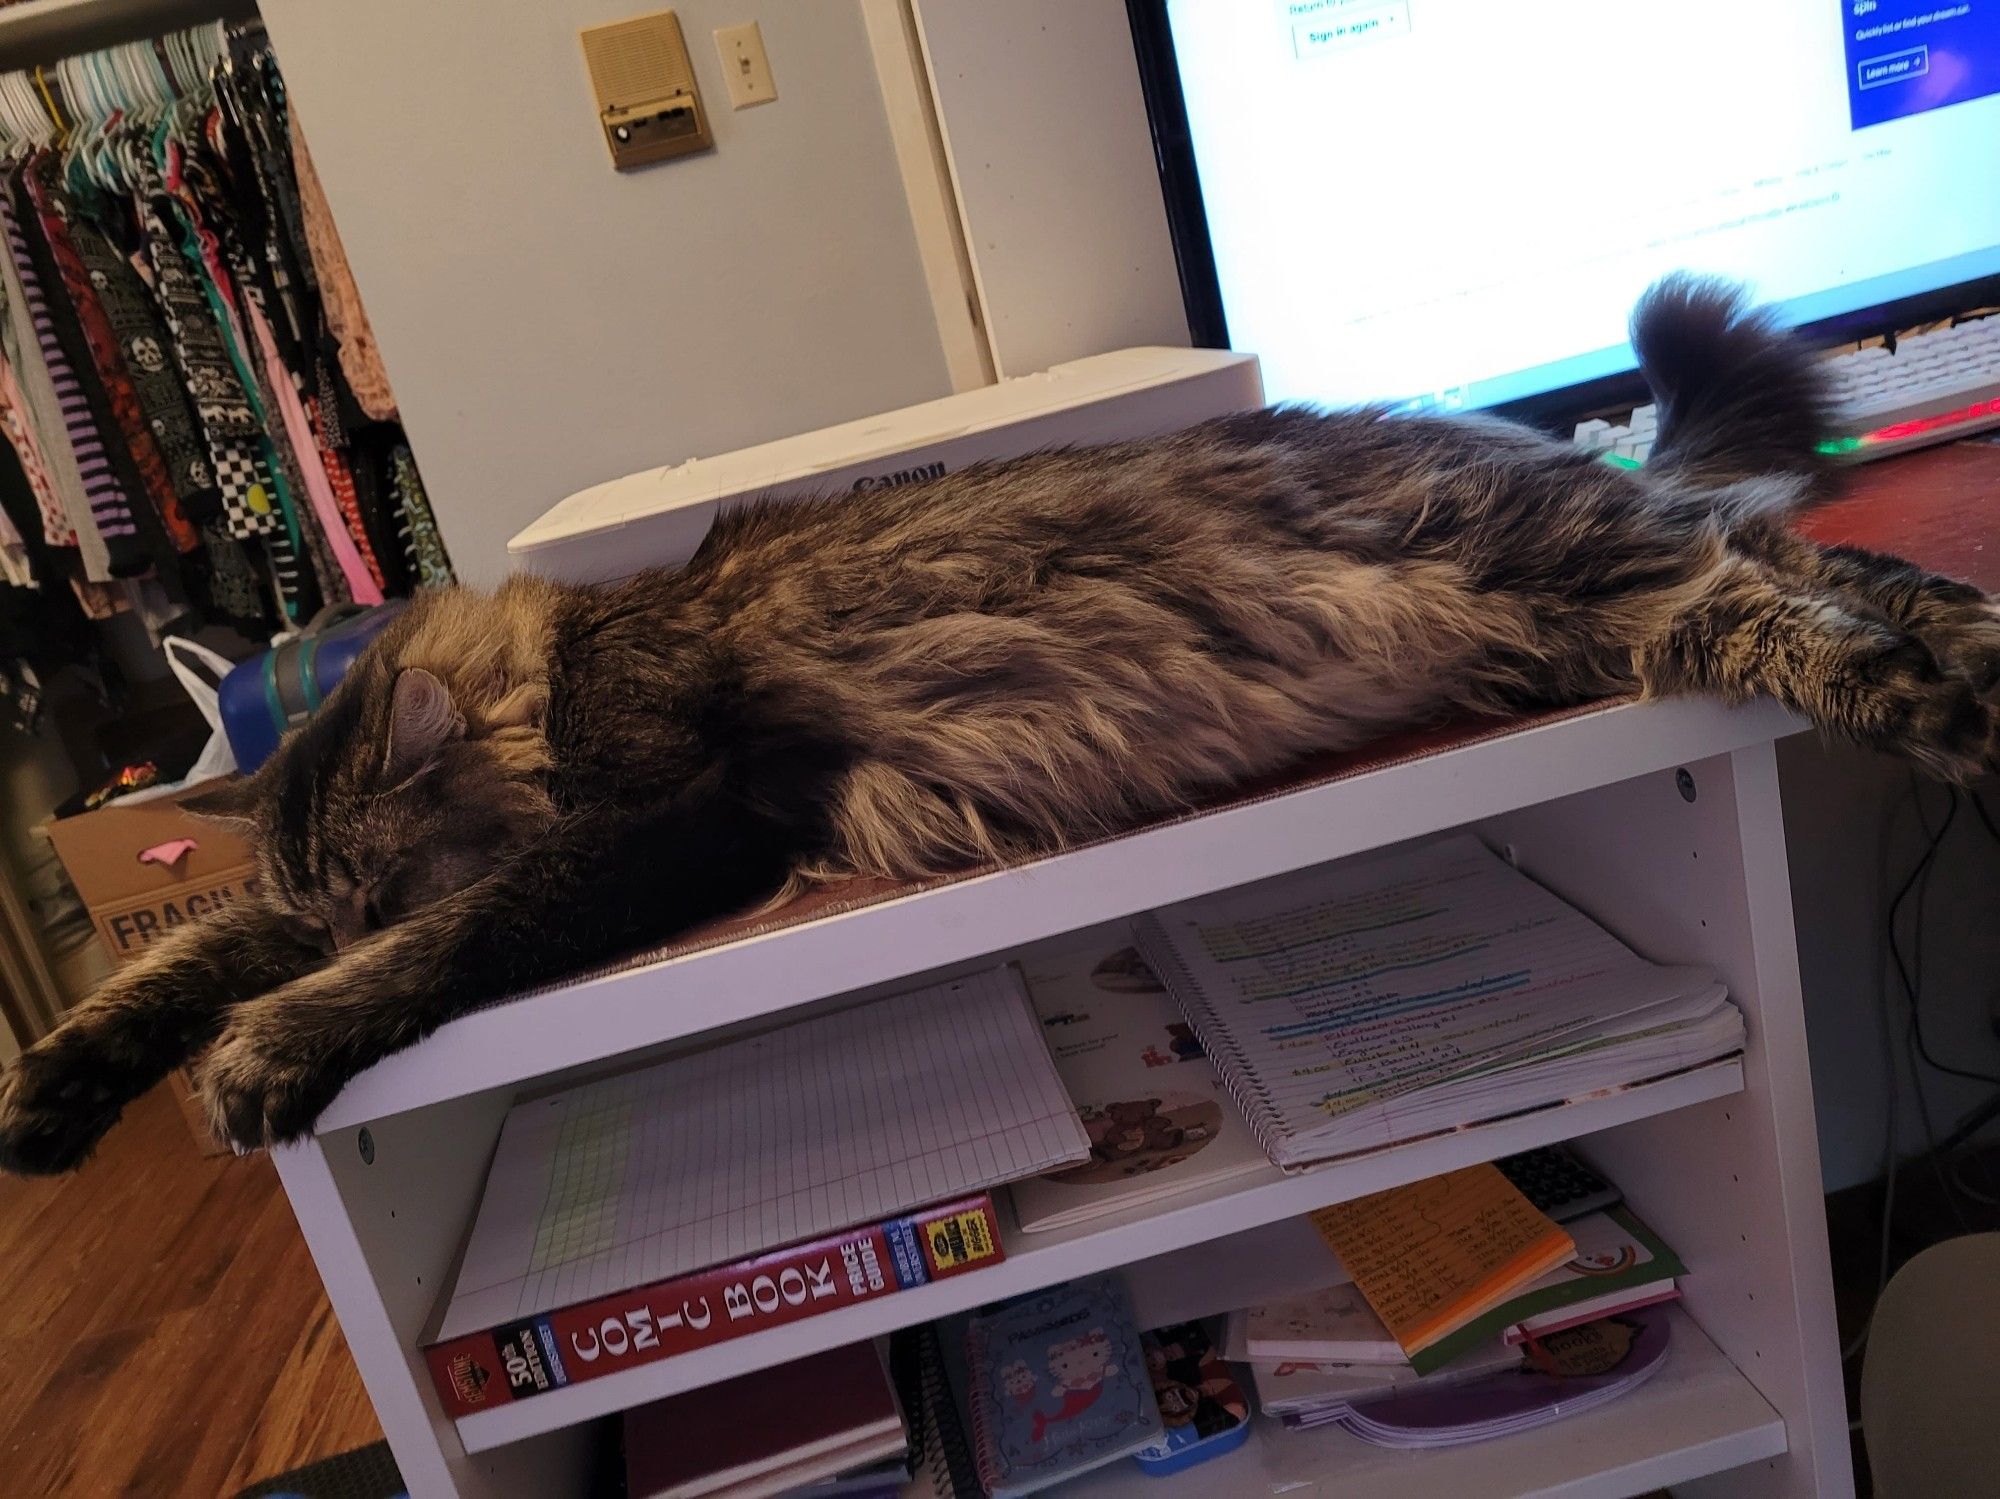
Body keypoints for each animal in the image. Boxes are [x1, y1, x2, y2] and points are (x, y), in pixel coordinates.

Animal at [3, 281, 2000, 1175]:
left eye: (371, 890)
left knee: (1790, 581)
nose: (337, 921)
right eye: (321, 890)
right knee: (1800, 555)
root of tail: (1525, 441)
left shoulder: (677, 816)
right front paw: (57, 1082)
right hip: (1588, 604)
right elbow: (176, 964)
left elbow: (452, 938)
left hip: (1572, 575)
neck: (551, 680)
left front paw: (273, 1046)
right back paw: (1967, 645)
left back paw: (1945, 693)